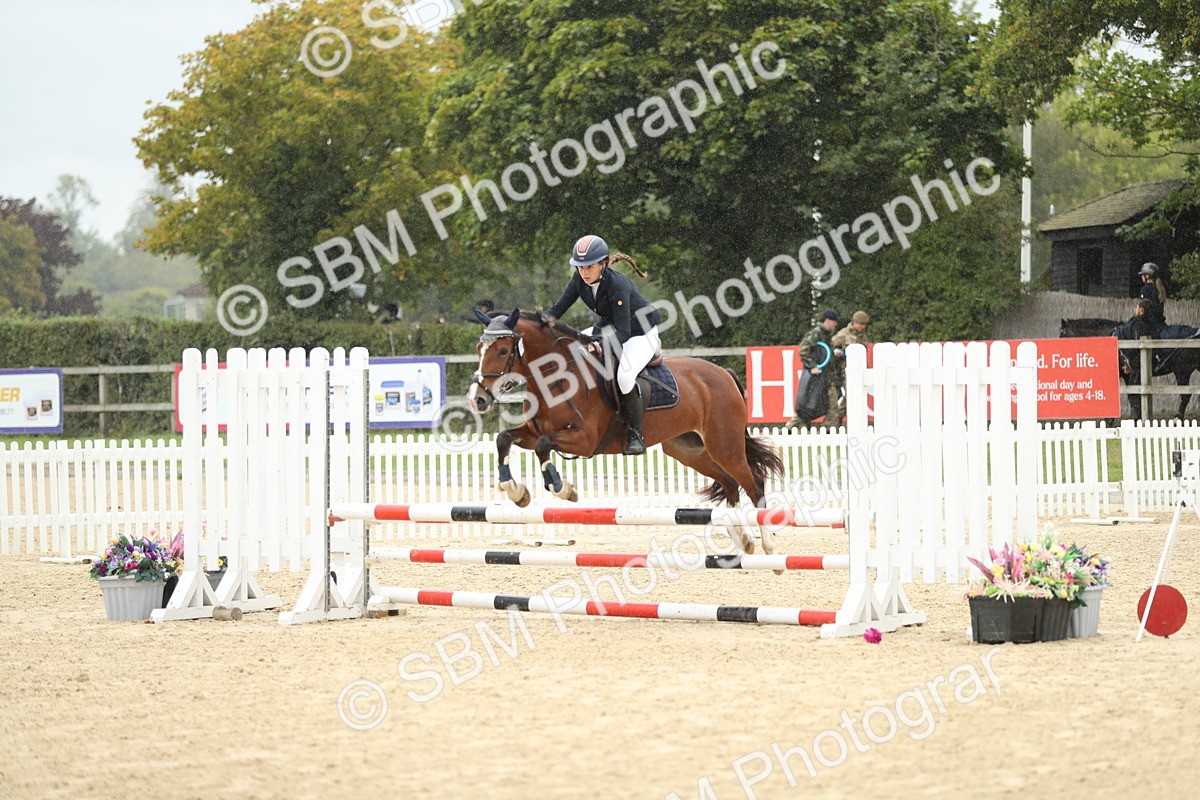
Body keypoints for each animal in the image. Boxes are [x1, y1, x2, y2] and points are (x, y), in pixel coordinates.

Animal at [466, 308, 785, 555]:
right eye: (479, 350)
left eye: (503, 350)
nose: (477, 399)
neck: (557, 378)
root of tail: (724, 374)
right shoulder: (532, 433)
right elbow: (503, 439)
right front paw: (515, 491)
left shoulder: (584, 440)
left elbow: (545, 446)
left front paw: (563, 488)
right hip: (689, 450)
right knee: (730, 485)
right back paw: (743, 541)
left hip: (724, 445)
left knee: (754, 484)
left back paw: (768, 544)